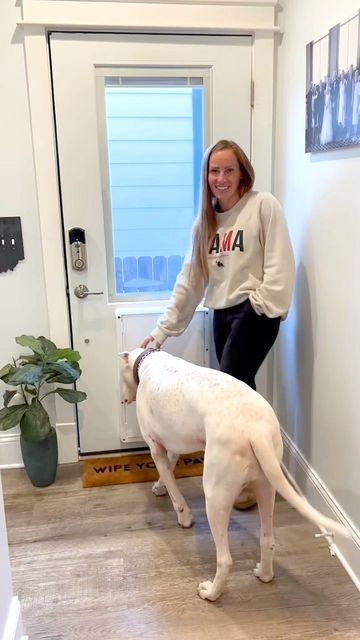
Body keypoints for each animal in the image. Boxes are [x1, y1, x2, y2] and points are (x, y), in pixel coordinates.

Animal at [120, 348, 348, 604]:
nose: (123, 399)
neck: (148, 362)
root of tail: (256, 430)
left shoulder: (155, 449)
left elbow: (173, 488)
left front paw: (183, 516)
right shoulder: (172, 447)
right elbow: (169, 468)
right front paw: (160, 487)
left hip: (215, 496)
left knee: (225, 559)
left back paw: (211, 592)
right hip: (266, 486)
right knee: (267, 539)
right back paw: (264, 573)